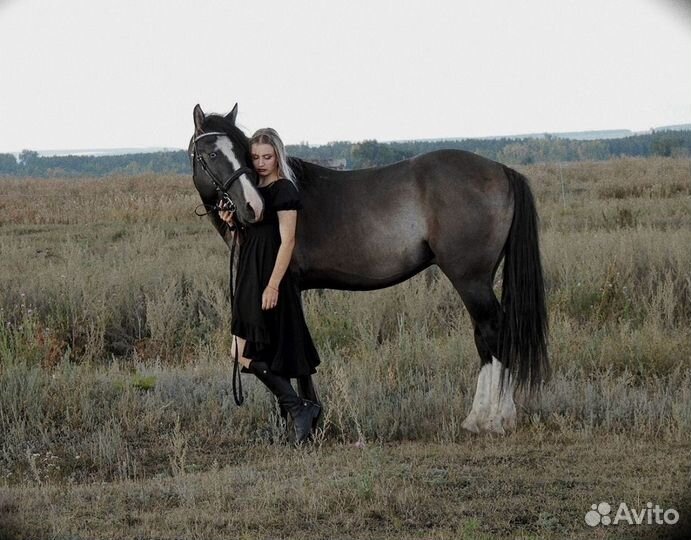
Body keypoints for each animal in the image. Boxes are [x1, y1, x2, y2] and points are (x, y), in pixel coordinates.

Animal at [189, 103, 549, 435]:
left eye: (242, 152)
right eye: (211, 152)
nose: (253, 207)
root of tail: (501, 169)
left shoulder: (285, 289)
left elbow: (296, 358)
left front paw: (308, 422)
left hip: (470, 280)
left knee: (493, 333)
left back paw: (492, 419)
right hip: (478, 281)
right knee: (487, 336)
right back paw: (486, 417)